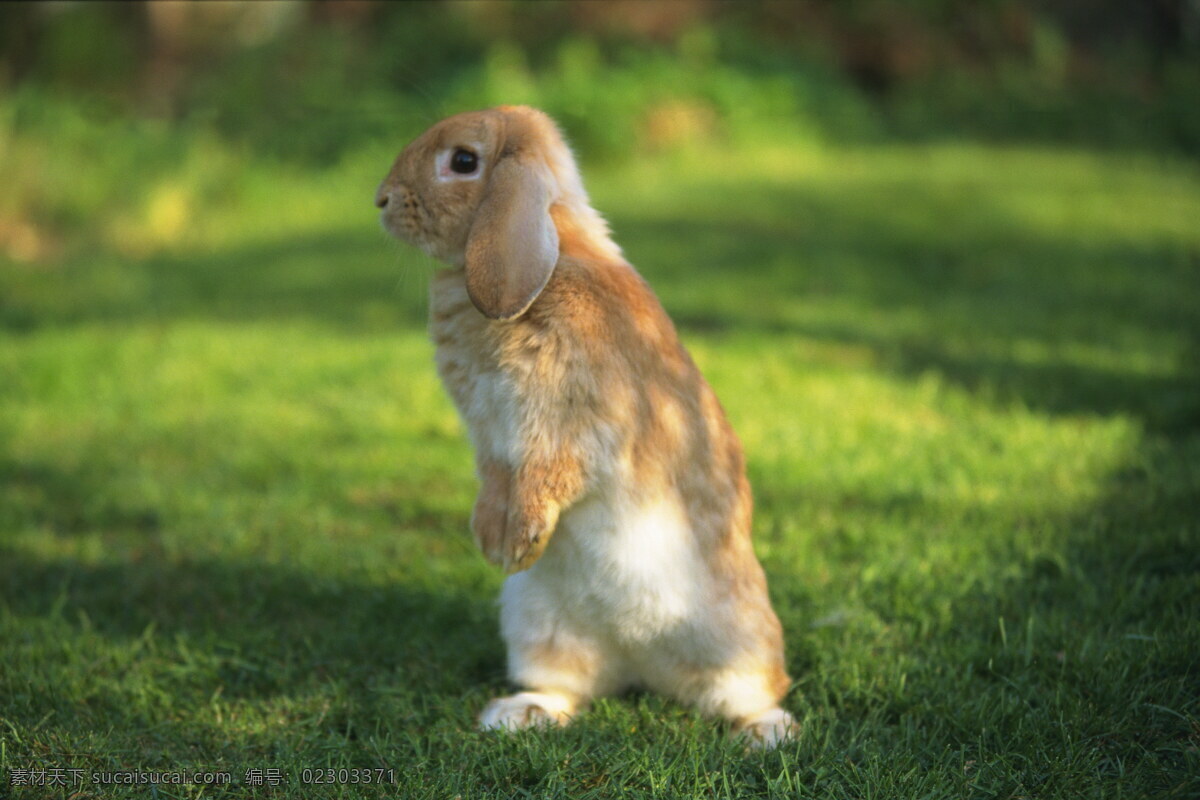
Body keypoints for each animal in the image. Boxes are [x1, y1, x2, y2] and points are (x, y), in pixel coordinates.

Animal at [374, 104, 796, 743]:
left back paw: (766, 733)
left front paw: (517, 539)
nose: (382, 199)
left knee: (752, 689)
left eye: (464, 161)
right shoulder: (491, 436)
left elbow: (548, 473)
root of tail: (640, 662)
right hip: (535, 624)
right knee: (568, 687)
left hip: (738, 637)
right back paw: (520, 713)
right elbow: (497, 478)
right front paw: (493, 540)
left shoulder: (575, 426)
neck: (550, 266)